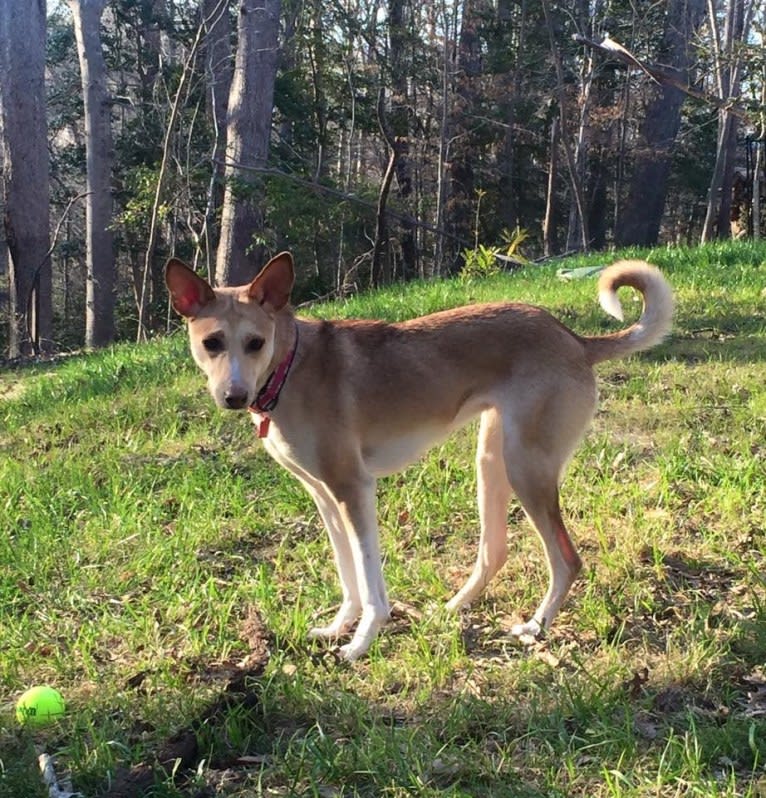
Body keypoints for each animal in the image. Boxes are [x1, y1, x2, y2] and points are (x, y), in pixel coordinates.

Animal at [165, 253, 676, 660]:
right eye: (212, 343)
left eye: (254, 342)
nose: (233, 397)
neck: (290, 366)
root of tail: (575, 340)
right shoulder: (324, 497)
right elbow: (348, 576)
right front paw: (338, 627)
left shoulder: (353, 489)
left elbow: (370, 583)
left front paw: (360, 643)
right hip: (492, 460)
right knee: (494, 551)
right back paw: (452, 608)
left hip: (526, 467)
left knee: (567, 560)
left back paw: (535, 626)